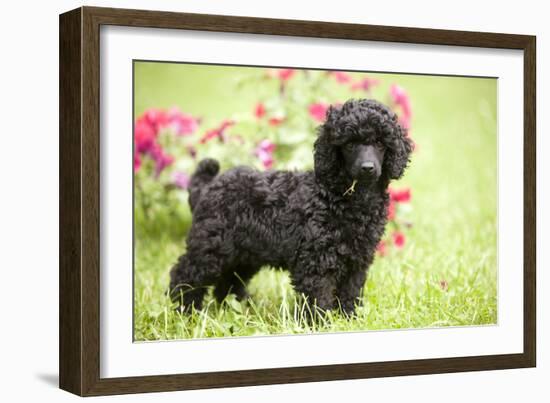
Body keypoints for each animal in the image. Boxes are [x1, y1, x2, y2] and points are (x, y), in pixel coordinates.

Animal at [168, 98, 414, 316]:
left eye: (380, 144)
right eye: (350, 144)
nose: (367, 168)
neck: (344, 196)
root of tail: (208, 186)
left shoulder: (358, 259)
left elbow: (350, 292)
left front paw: (349, 318)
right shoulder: (315, 261)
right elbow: (318, 297)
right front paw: (319, 323)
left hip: (244, 253)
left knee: (228, 282)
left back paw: (237, 309)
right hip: (211, 246)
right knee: (185, 274)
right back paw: (185, 311)